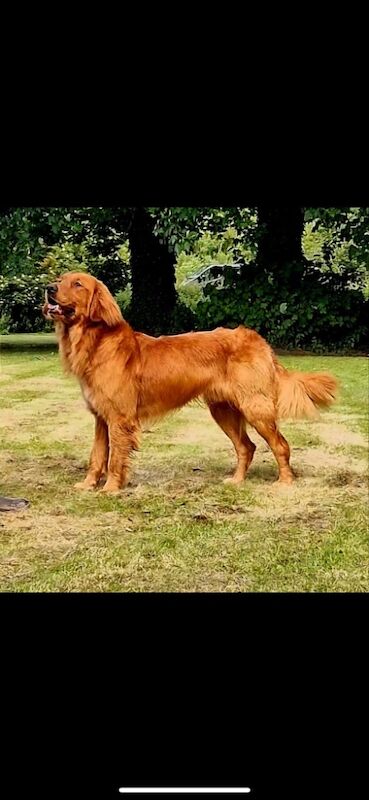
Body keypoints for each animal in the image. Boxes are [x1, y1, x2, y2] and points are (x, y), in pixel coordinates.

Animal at [42, 272, 336, 490]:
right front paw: (88, 485)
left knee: (280, 445)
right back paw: (236, 480)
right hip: (223, 410)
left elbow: (115, 459)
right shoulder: (101, 418)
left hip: (255, 408)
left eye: (77, 283)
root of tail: (257, 340)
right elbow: (97, 455)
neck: (95, 342)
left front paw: (111, 488)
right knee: (247, 446)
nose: (48, 288)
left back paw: (284, 482)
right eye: (60, 278)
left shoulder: (120, 419)